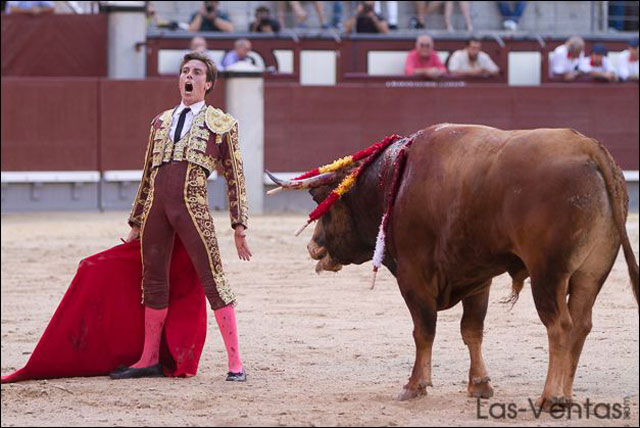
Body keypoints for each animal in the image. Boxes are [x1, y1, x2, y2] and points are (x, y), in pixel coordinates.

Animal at [268, 123, 636, 408]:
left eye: (320, 200)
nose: (313, 246)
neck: (395, 182)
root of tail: (588, 148)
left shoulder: (412, 276)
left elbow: (423, 330)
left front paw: (414, 385)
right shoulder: (477, 279)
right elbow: (472, 330)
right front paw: (480, 385)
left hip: (548, 273)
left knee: (559, 325)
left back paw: (550, 398)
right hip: (592, 272)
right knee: (581, 324)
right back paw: (568, 395)